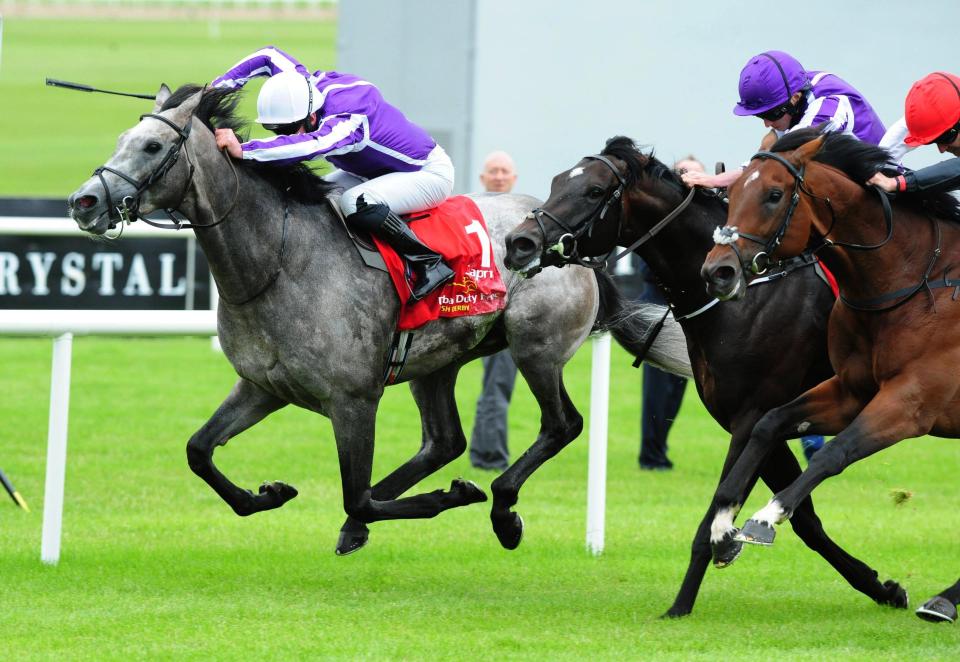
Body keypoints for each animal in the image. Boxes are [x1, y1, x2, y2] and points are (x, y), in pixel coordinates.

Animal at [63, 85, 688, 556]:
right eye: (122, 141)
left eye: (150, 146)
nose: (84, 202)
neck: (277, 262)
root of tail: (571, 244)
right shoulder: (263, 386)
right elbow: (199, 451)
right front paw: (269, 494)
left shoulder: (353, 399)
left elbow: (354, 492)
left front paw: (450, 499)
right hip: (438, 362)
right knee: (444, 441)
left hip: (536, 347)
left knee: (561, 425)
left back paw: (502, 511)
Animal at [502, 137, 908, 620]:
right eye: (557, 181)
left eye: (595, 191)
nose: (519, 242)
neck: (746, 298)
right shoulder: (761, 421)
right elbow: (806, 520)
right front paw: (880, 586)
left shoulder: (753, 417)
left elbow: (719, 509)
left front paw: (682, 601)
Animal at [696, 127, 960, 624]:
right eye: (732, 192)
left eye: (774, 195)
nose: (717, 272)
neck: (912, 280)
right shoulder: (850, 391)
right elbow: (768, 424)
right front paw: (722, 525)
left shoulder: (912, 404)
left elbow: (835, 453)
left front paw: (764, 518)